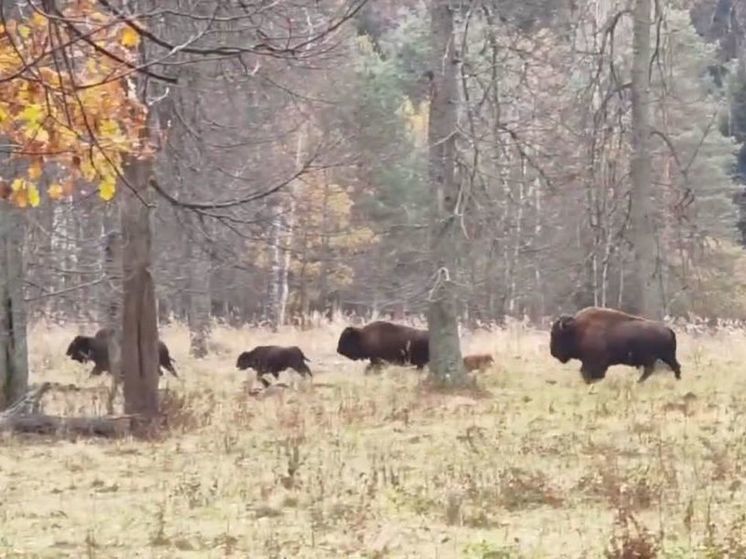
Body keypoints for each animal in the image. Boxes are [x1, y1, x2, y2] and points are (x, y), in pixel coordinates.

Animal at [548, 306, 680, 384]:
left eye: (555, 334)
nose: (553, 352)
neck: (578, 329)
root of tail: (668, 329)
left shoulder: (592, 362)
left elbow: (587, 373)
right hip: (666, 356)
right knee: (673, 366)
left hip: (660, 357)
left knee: (655, 369)